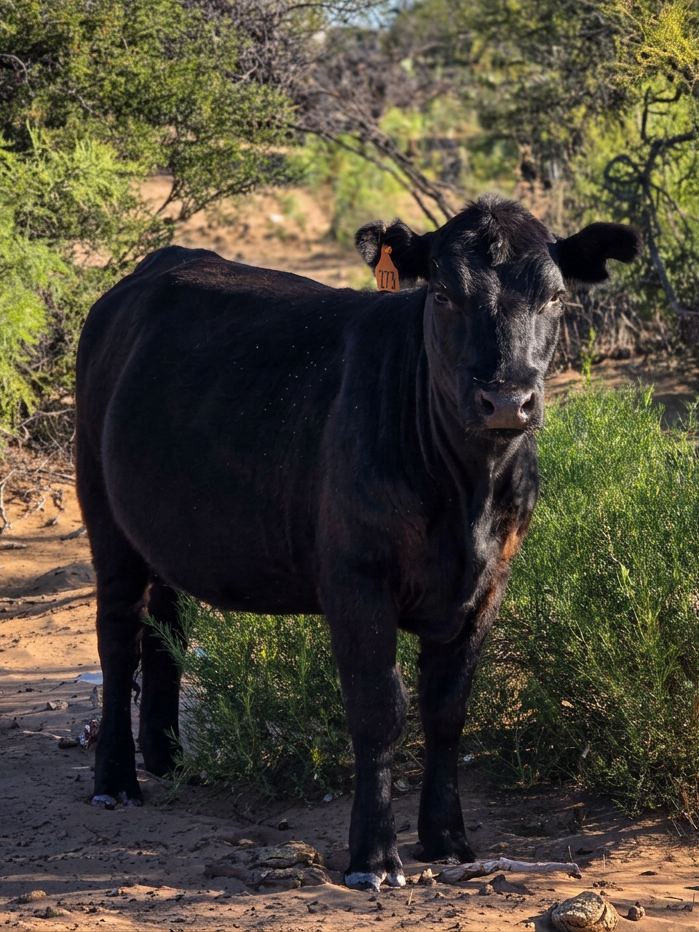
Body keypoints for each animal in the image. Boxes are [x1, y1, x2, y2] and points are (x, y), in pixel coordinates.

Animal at [75, 194, 640, 892]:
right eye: (444, 294)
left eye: (556, 298)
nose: (507, 399)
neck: (469, 495)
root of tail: (151, 269)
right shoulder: (356, 580)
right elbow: (379, 711)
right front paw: (373, 856)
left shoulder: (488, 585)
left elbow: (447, 712)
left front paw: (447, 839)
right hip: (103, 514)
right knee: (117, 636)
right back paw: (116, 779)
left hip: (165, 529)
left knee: (165, 625)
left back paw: (168, 756)